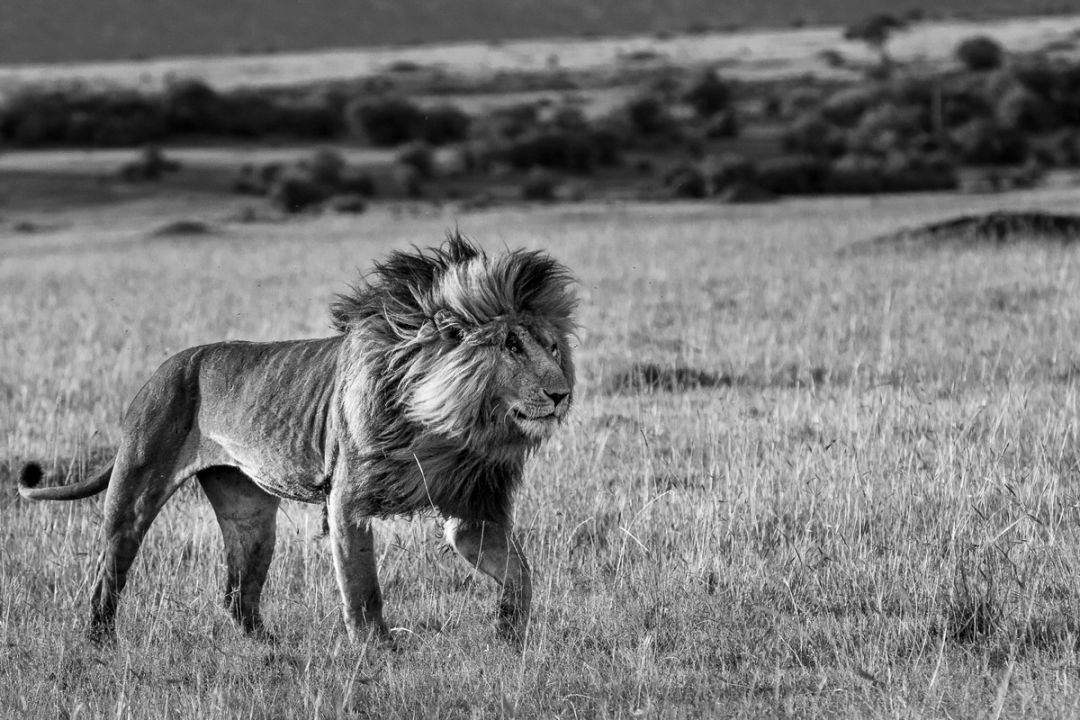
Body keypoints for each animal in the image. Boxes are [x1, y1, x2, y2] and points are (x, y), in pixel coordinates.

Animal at [16, 236, 574, 647]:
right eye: (510, 345)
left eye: (551, 347)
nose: (561, 393)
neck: (446, 424)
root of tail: (161, 369)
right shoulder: (348, 501)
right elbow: (363, 589)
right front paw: (378, 651)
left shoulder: (472, 509)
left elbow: (521, 575)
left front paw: (509, 633)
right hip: (134, 490)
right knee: (108, 570)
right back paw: (99, 641)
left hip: (249, 515)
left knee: (237, 593)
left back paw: (267, 648)